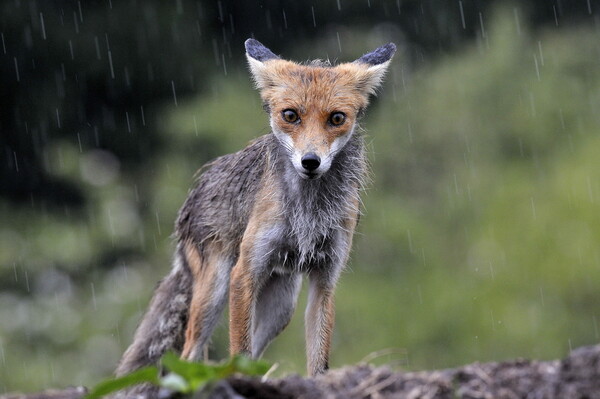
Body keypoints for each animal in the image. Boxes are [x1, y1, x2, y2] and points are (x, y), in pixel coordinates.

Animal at [115, 39, 396, 386]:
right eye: (290, 115)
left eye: (336, 118)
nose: (310, 162)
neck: (308, 211)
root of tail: (194, 194)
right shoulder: (244, 272)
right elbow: (239, 350)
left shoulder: (326, 278)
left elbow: (318, 360)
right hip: (214, 291)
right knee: (192, 354)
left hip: (282, 304)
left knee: (249, 354)